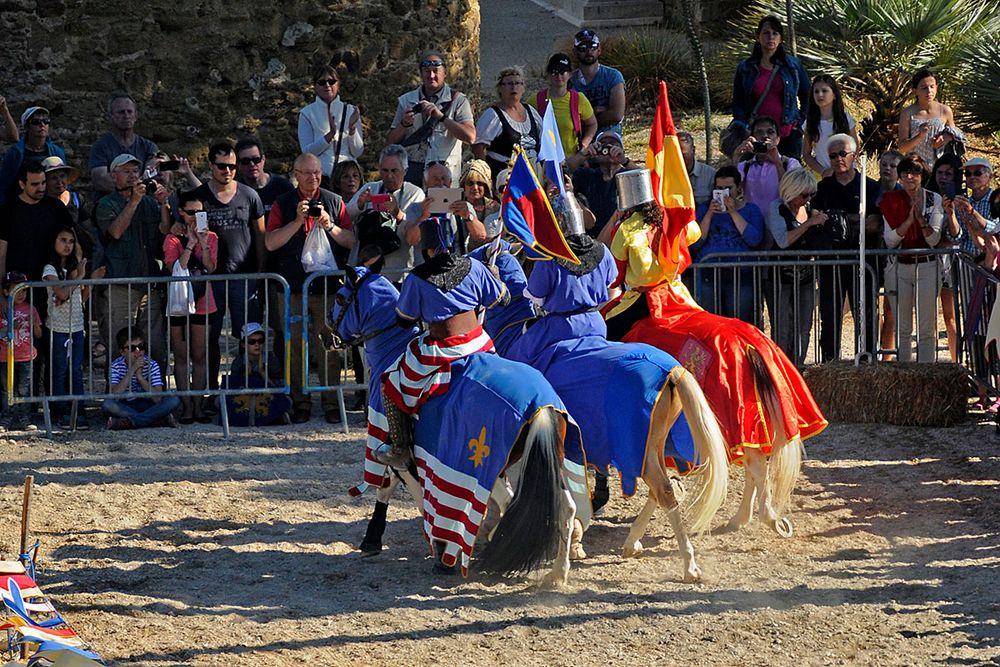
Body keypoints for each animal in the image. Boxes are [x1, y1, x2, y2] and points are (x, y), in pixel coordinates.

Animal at [328, 264, 592, 584]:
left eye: (340, 297)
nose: (329, 335)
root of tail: (540, 406)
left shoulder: (404, 457)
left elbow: (399, 491)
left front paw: (388, 542)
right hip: (541, 461)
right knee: (565, 508)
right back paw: (557, 573)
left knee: (511, 503)